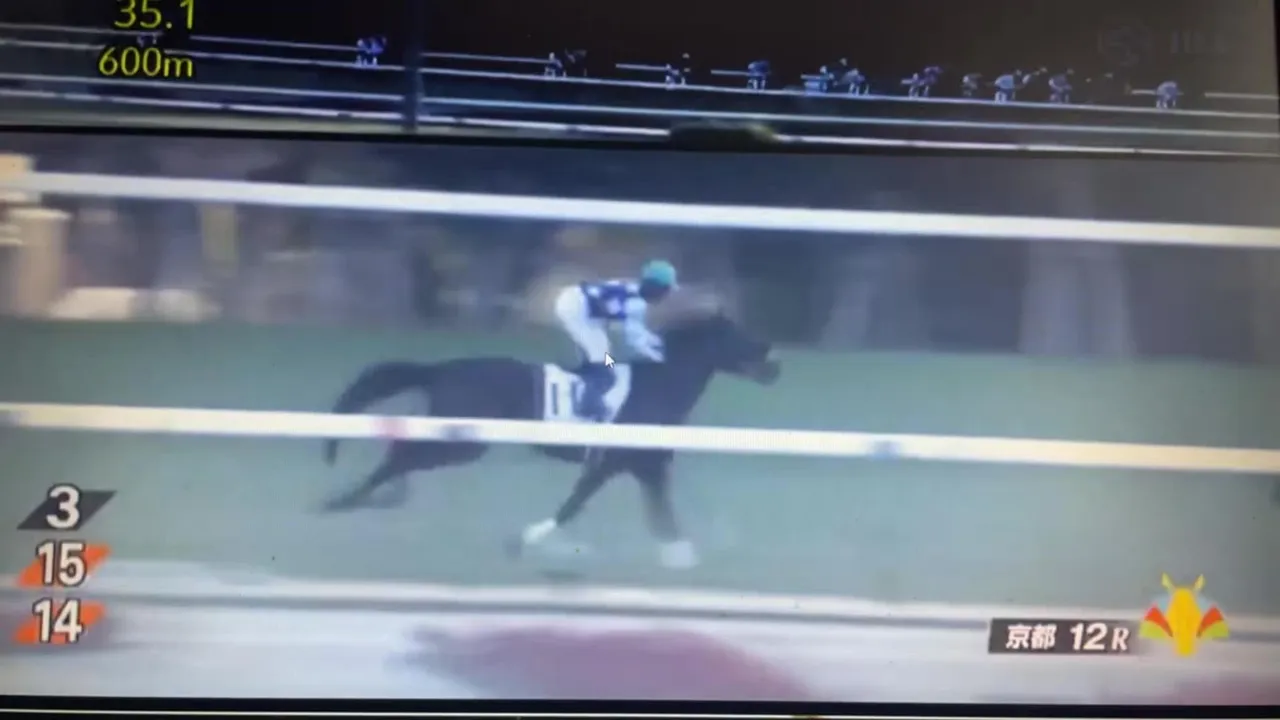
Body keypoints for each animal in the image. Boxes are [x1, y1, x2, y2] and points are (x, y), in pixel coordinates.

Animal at [319, 310, 781, 564]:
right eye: (737, 336)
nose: (773, 365)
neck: (658, 385)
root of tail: (442, 369)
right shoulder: (612, 463)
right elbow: (573, 506)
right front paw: (524, 540)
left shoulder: (644, 465)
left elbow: (661, 512)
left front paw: (680, 554)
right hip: (465, 442)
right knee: (401, 453)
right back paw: (344, 500)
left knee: (403, 452)